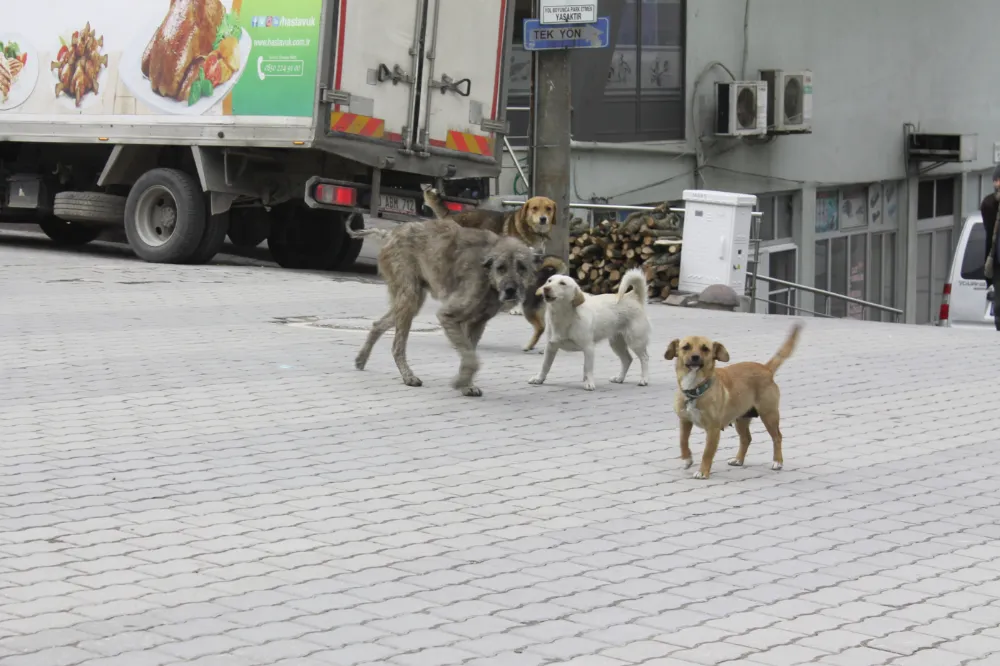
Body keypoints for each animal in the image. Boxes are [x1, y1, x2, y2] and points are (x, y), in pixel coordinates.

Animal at [352, 218, 540, 394]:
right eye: (501, 268)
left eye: (522, 267)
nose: (510, 291)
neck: (488, 277)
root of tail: (391, 234)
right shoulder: (448, 315)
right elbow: (471, 358)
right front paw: (462, 382)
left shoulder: (477, 324)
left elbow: (469, 354)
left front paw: (466, 384)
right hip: (409, 298)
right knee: (397, 346)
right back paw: (408, 376)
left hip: (411, 303)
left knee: (378, 324)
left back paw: (362, 358)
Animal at [668, 322, 800, 478]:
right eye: (685, 347)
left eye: (705, 349)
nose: (695, 357)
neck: (695, 390)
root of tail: (765, 368)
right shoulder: (685, 421)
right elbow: (683, 441)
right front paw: (687, 459)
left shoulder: (713, 429)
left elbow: (707, 453)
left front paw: (703, 472)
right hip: (741, 419)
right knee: (746, 438)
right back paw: (738, 460)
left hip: (769, 415)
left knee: (777, 437)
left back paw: (777, 461)